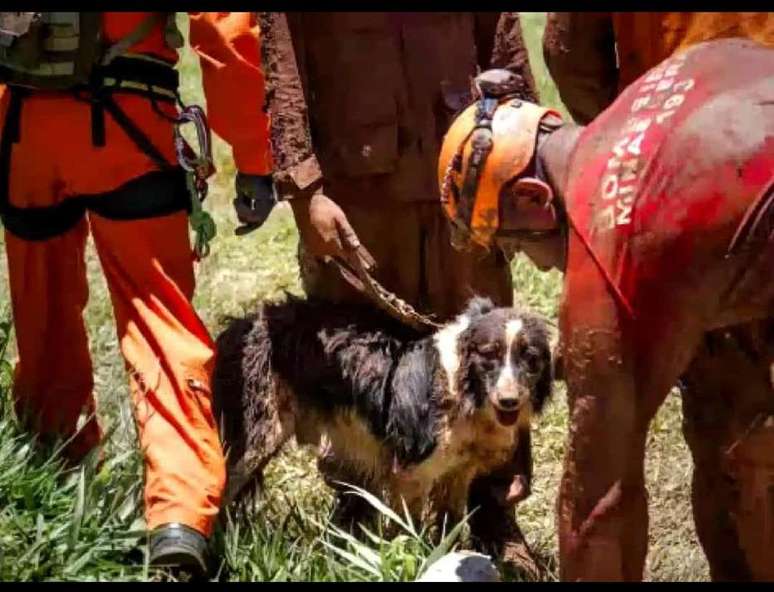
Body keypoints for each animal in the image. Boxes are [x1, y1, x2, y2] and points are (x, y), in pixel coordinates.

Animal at [212, 294, 552, 528]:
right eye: (489, 354)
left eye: (530, 358)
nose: (509, 402)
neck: (464, 390)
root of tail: (236, 327)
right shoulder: (412, 471)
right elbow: (409, 530)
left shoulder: (456, 473)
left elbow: (449, 529)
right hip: (255, 439)